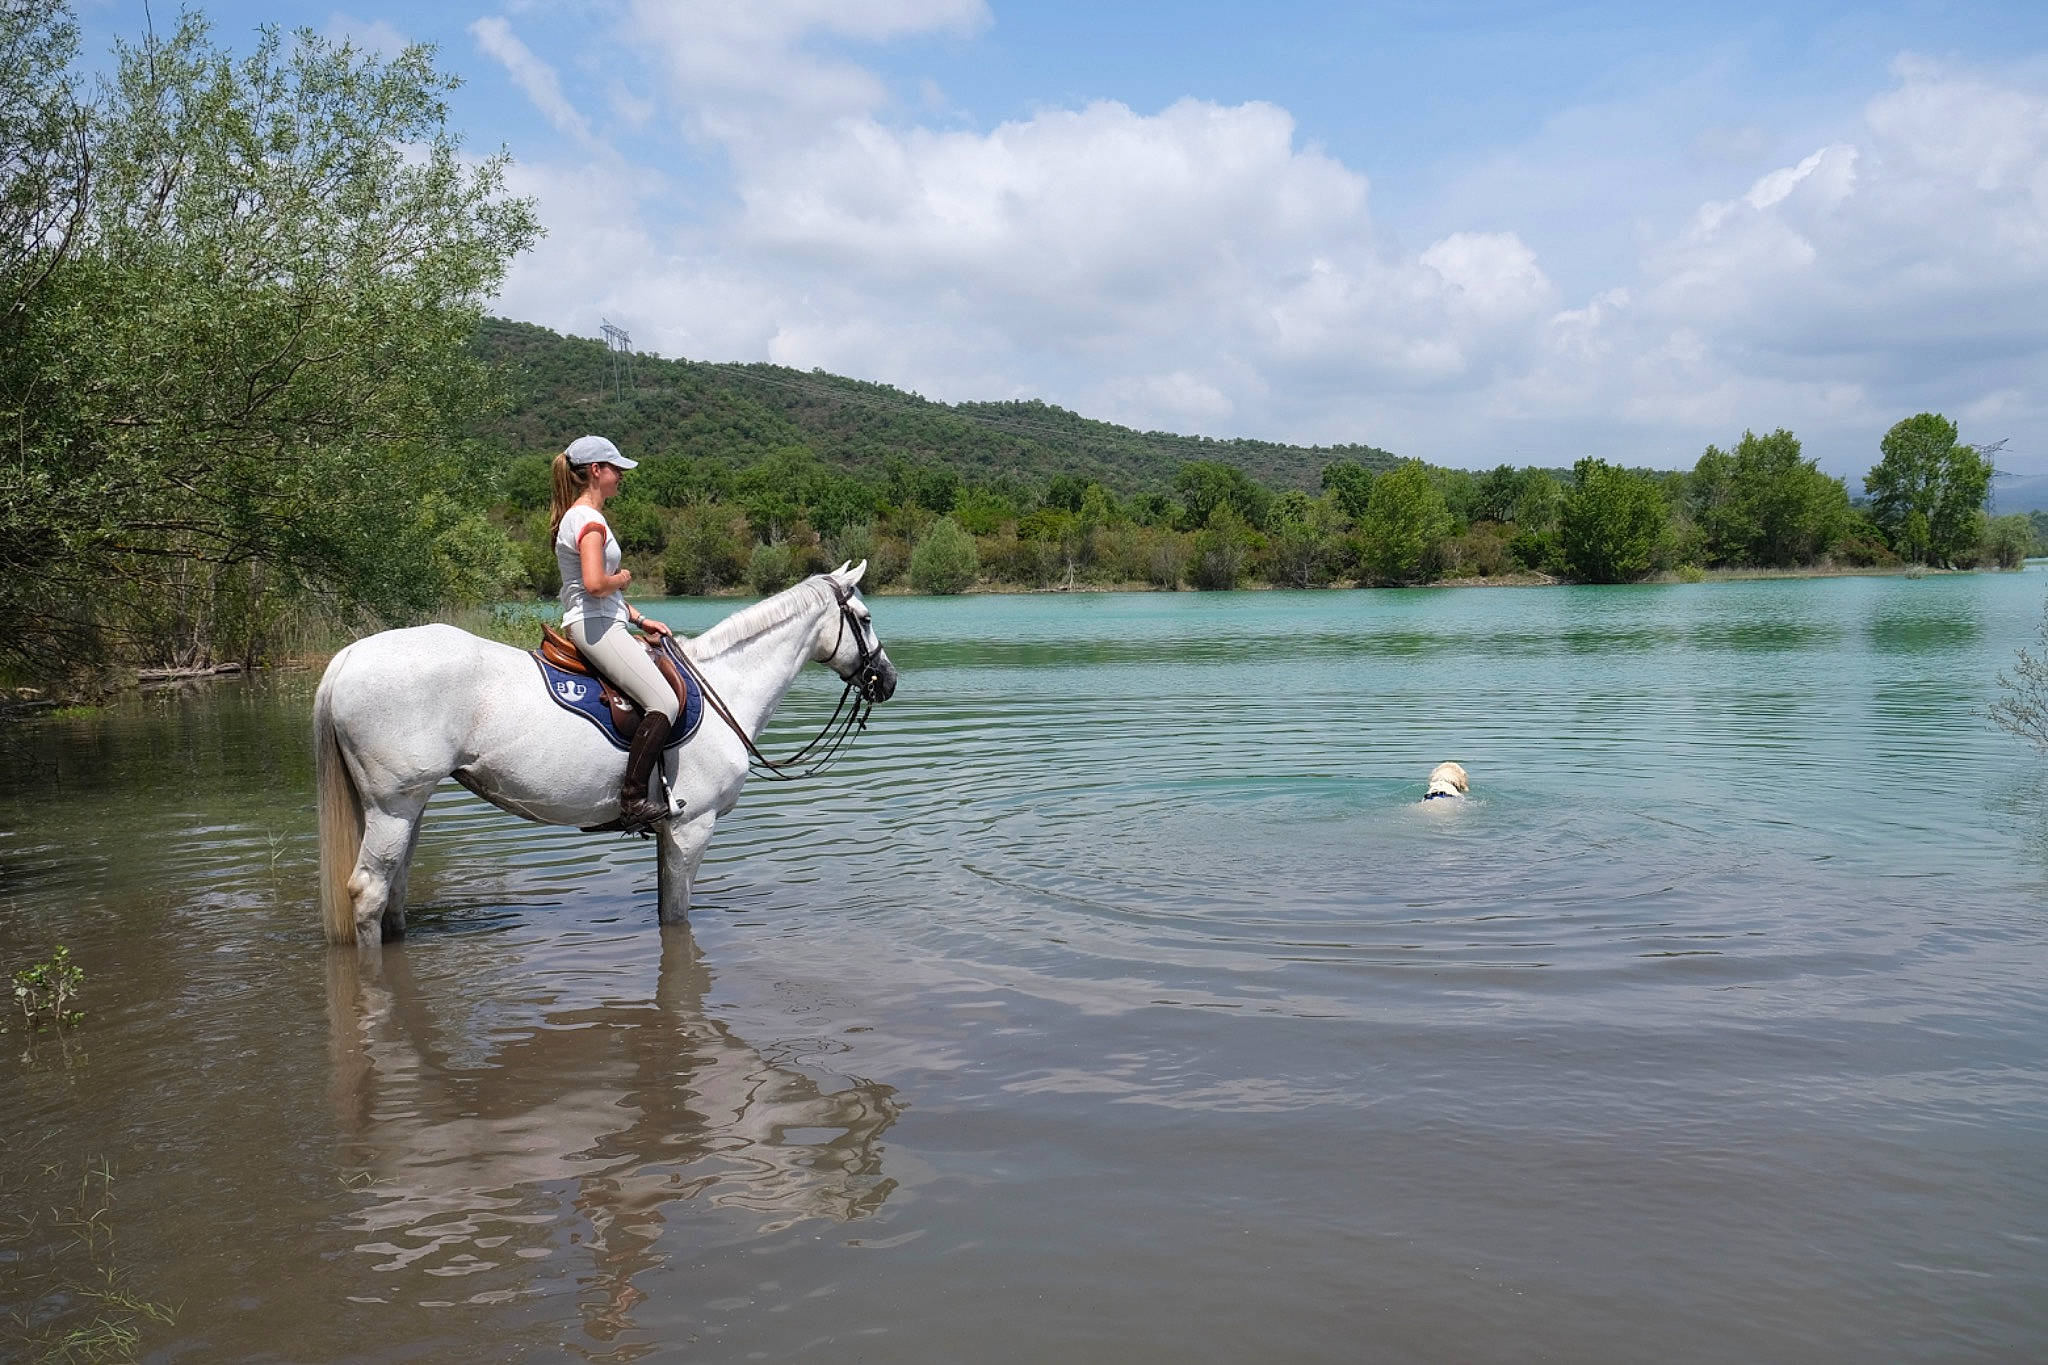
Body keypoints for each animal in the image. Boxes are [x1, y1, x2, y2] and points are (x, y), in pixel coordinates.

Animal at [314, 563, 896, 948]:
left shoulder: (670, 834)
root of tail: (349, 656)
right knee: (369, 892)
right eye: (866, 618)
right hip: (393, 806)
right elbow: (677, 916)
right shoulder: (693, 827)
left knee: (394, 891)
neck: (724, 686)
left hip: (408, 808)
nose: (886, 680)